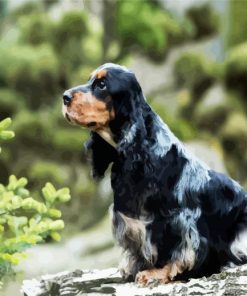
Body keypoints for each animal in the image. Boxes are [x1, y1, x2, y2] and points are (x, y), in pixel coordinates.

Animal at [62, 63, 247, 286]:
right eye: (90, 80)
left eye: (102, 84)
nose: (64, 97)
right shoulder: (129, 222)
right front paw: (133, 267)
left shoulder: (181, 221)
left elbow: (180, 253)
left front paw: (155, 273)